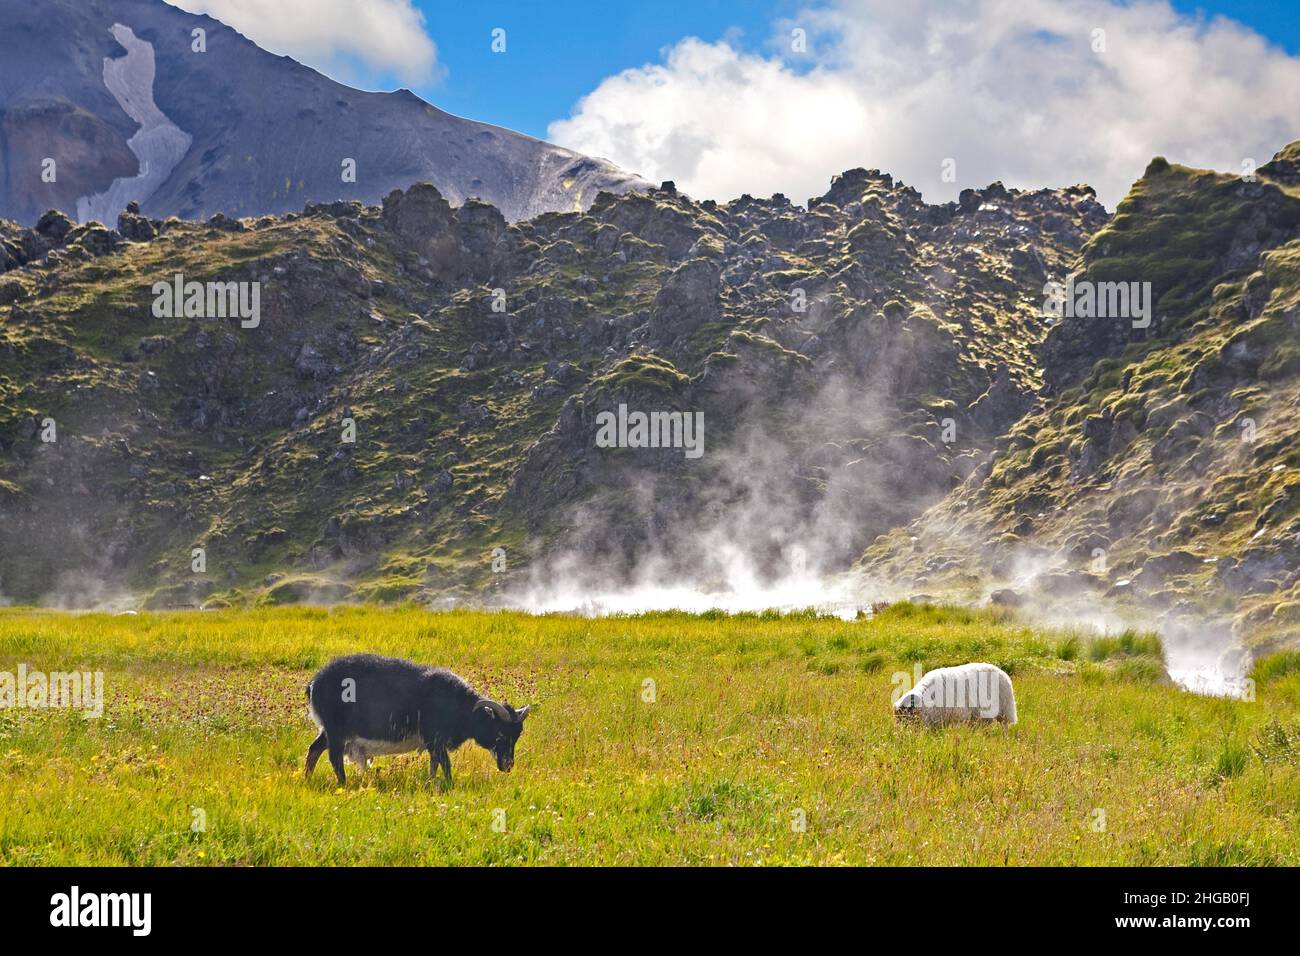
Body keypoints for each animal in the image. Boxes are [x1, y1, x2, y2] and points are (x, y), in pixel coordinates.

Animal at [305, 654, 529, 787]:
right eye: (500, 734)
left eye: (517, 736)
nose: (508, 766)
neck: (460, 706)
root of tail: (315, 683)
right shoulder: (434, 739)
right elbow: (445, 765)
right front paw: (448, 785)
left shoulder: (434, 745)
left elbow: (434, 764)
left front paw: (431, 783)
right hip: (336, 731)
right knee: (333, 757)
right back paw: (343, 784)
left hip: (329, 731)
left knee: (314, 749)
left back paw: (308, 779)